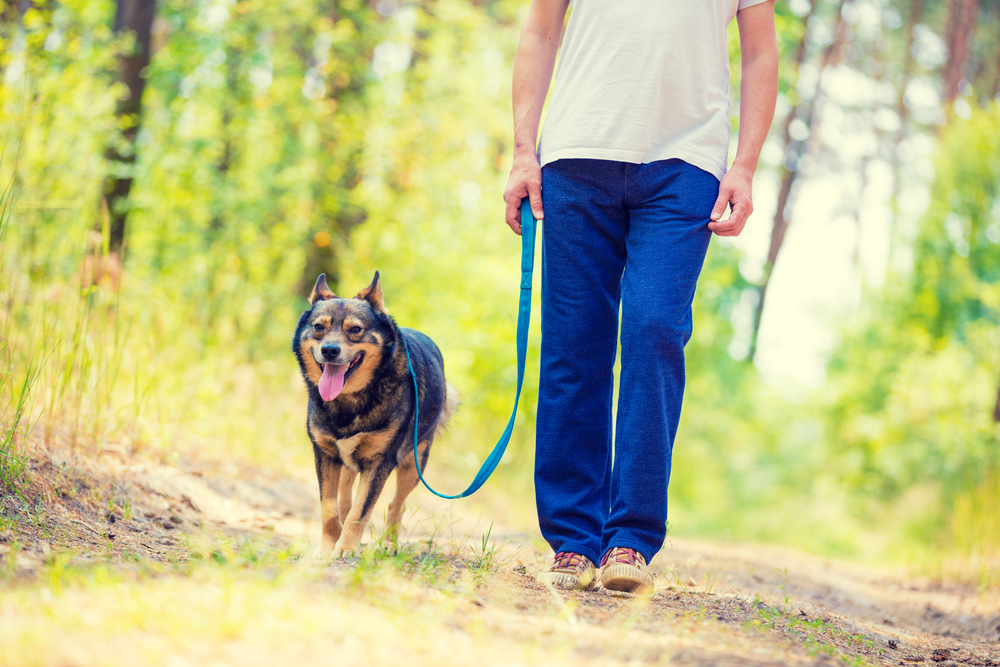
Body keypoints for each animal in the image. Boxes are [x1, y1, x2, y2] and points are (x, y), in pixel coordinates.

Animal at [292, 272, 458, 560]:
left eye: (355, 330)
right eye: (318, 327)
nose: (330, 350)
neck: (350, 402)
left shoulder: (380, 461)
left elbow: (359, 512)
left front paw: (346, 548)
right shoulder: (325, 454)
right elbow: (330, 507)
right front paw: (328, 547)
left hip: (414, 463)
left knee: (396, 505)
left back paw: (389, 544)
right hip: (348, 462)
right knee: (345, 501)